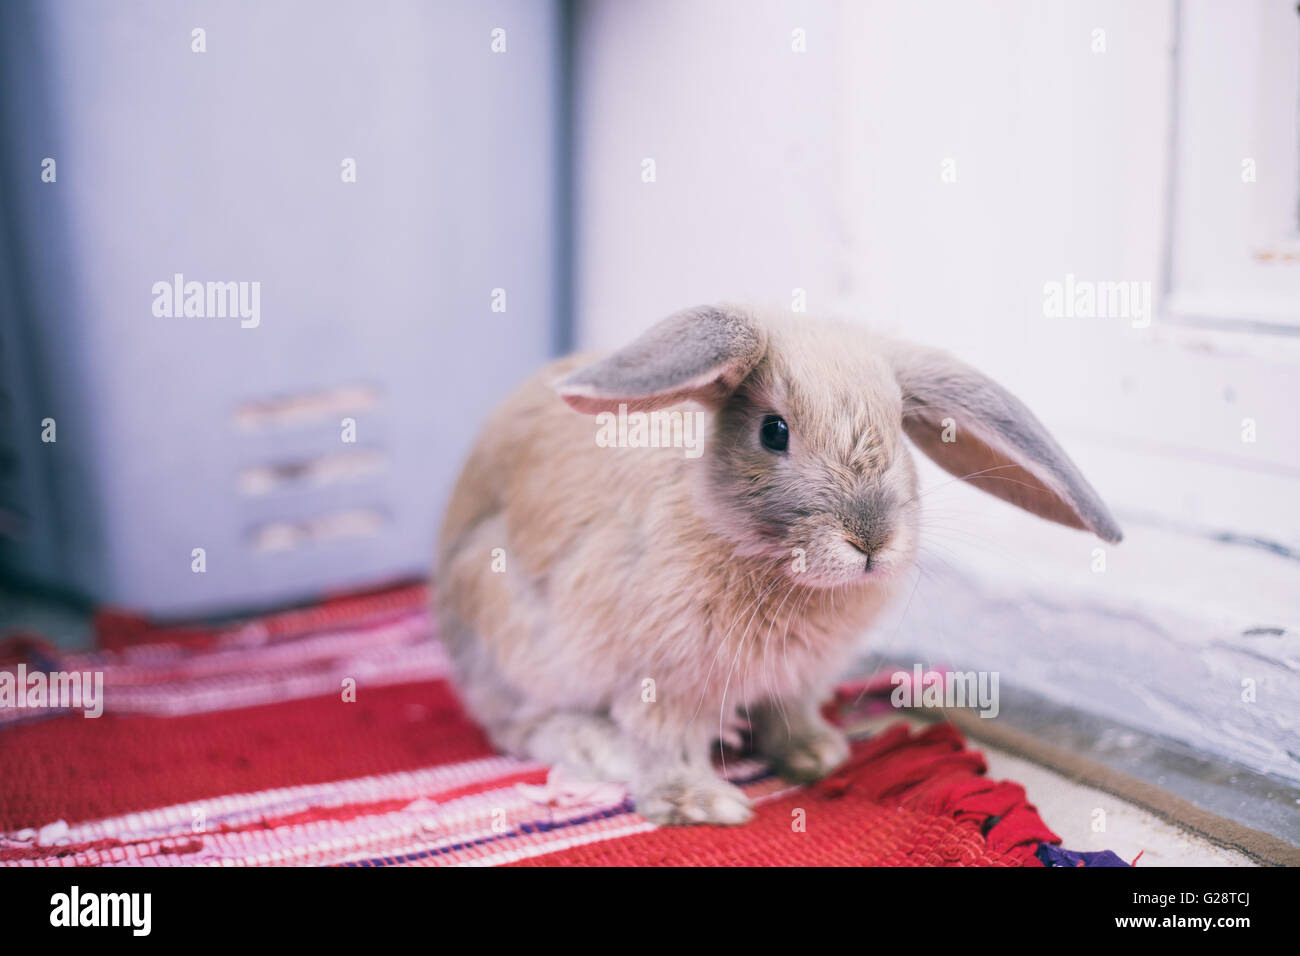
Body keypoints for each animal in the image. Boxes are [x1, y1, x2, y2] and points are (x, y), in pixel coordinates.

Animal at [436, 304, 1118, 822]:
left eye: (899, 433)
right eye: (773, 431)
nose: (871, 540)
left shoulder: (796, 680)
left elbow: (789, 715)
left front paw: (820, 755)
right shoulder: (661, 682)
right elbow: (661, 746)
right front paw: (702, 804)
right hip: (515, 639)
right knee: (519, 724)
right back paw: (600, 748)